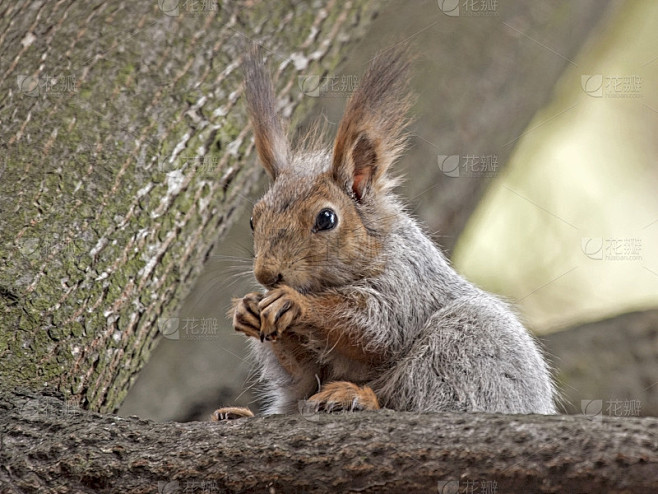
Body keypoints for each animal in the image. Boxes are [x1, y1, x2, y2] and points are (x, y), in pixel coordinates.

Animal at [211, 47, 552, 420]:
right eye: (253, 219)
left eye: (326, 218)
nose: (266, 275)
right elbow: (304, 370)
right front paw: (246, 307)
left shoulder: (405, 281)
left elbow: (376, 326)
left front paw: (295, 302)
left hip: (466, 344)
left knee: (416, 399)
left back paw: (355, 396)